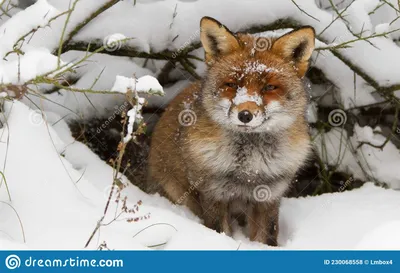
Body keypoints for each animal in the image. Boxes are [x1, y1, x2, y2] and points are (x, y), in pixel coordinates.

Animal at [148, 17, 314, 244]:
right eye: (232, 84)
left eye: (269, 87)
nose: (245, 115)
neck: (249, 169)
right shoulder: (213, 193)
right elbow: (219, 231)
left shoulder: (269, 195)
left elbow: (267, 237)